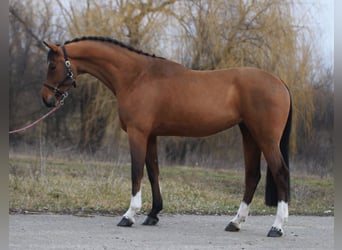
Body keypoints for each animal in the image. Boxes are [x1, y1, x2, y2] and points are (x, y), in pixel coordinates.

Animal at [40, 36, 292, 237]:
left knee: (280, 172)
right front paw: (153, 214)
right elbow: (153, 172)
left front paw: (129, 215)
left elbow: (136, 172)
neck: (137, 77)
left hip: (266, 138)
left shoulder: (138, 134)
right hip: (249, 135)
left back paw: (277, 227)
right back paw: (235, 223)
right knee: (252, 176)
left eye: (52, 66)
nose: (46, 99)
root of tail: (279, 81)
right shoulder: (151, 136)